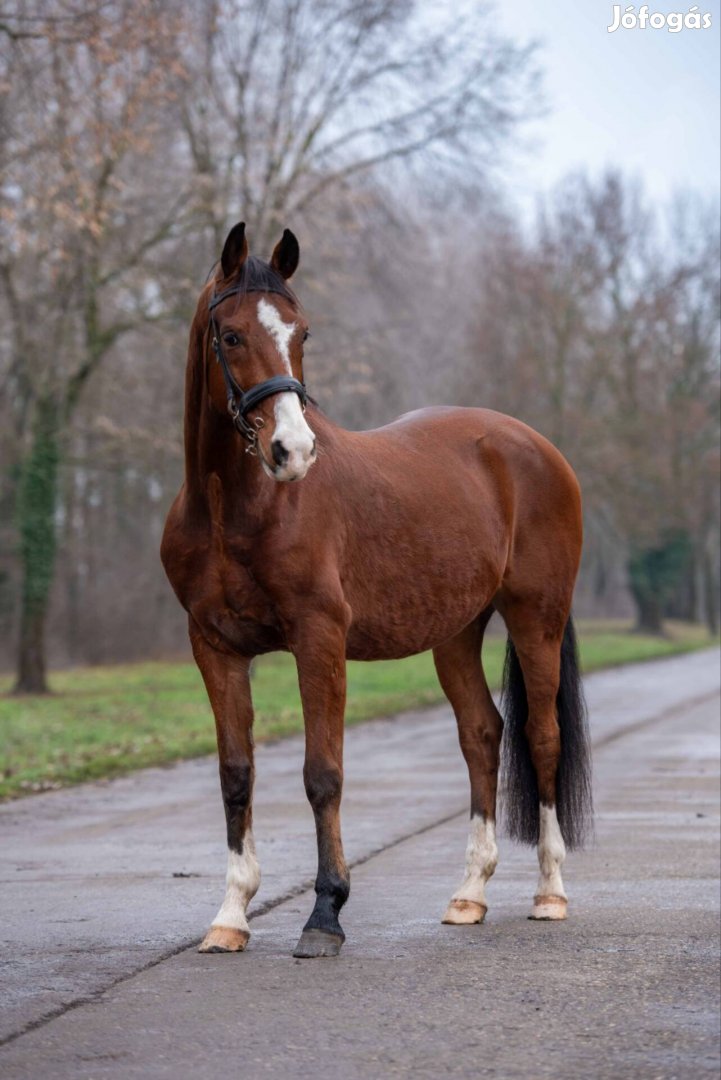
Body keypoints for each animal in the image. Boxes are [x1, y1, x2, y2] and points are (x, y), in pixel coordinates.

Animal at [161, 221, 591, 963]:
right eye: (232, 336)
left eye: (302, 333)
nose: (293, 451)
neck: (234, 510)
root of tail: (534, 447)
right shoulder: (213, 647)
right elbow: (236, 773)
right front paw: (231, 914)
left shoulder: (318, 640)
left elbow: (322, 774)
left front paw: (324, 915)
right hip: (457, 631)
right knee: (482, 734)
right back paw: (468, 894)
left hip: (536, 616)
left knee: (541, 737)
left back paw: (549, 893)